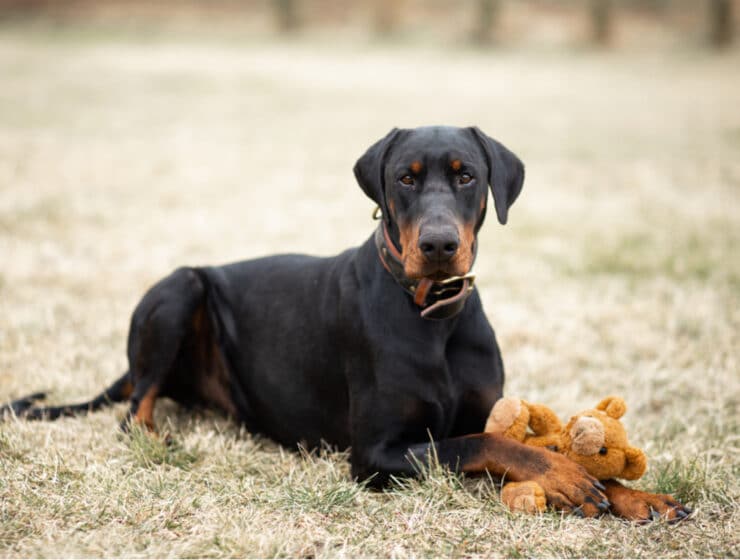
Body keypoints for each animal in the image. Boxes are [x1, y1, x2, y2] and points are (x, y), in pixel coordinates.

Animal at [2, 126, 692, 520]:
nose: (439, 245)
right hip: (179, 288)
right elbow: (488, 444)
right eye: (405, 179)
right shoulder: (378, 453)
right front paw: (565, 475)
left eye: (467, 175)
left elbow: (521, 437)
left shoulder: (482, 406)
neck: (432, 315)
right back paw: (156, 436)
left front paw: (635, 495)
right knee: (134, 404)